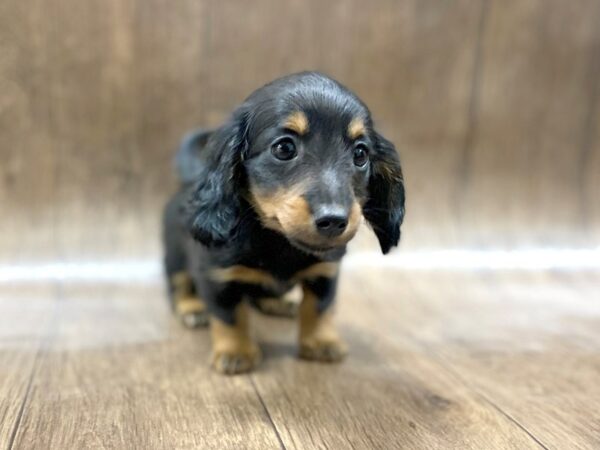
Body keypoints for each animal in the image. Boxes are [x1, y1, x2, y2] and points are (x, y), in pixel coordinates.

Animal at [162, 72, 406, 374]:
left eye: (360, 154)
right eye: (284, 148)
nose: (334, 220)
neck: (279, 242)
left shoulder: (326, 272)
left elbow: (320, 308)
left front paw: (320, 341)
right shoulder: (215, 274)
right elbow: (230, 315)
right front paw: (236, 351)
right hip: (175, 257)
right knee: (179, 283)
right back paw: (192, 307)